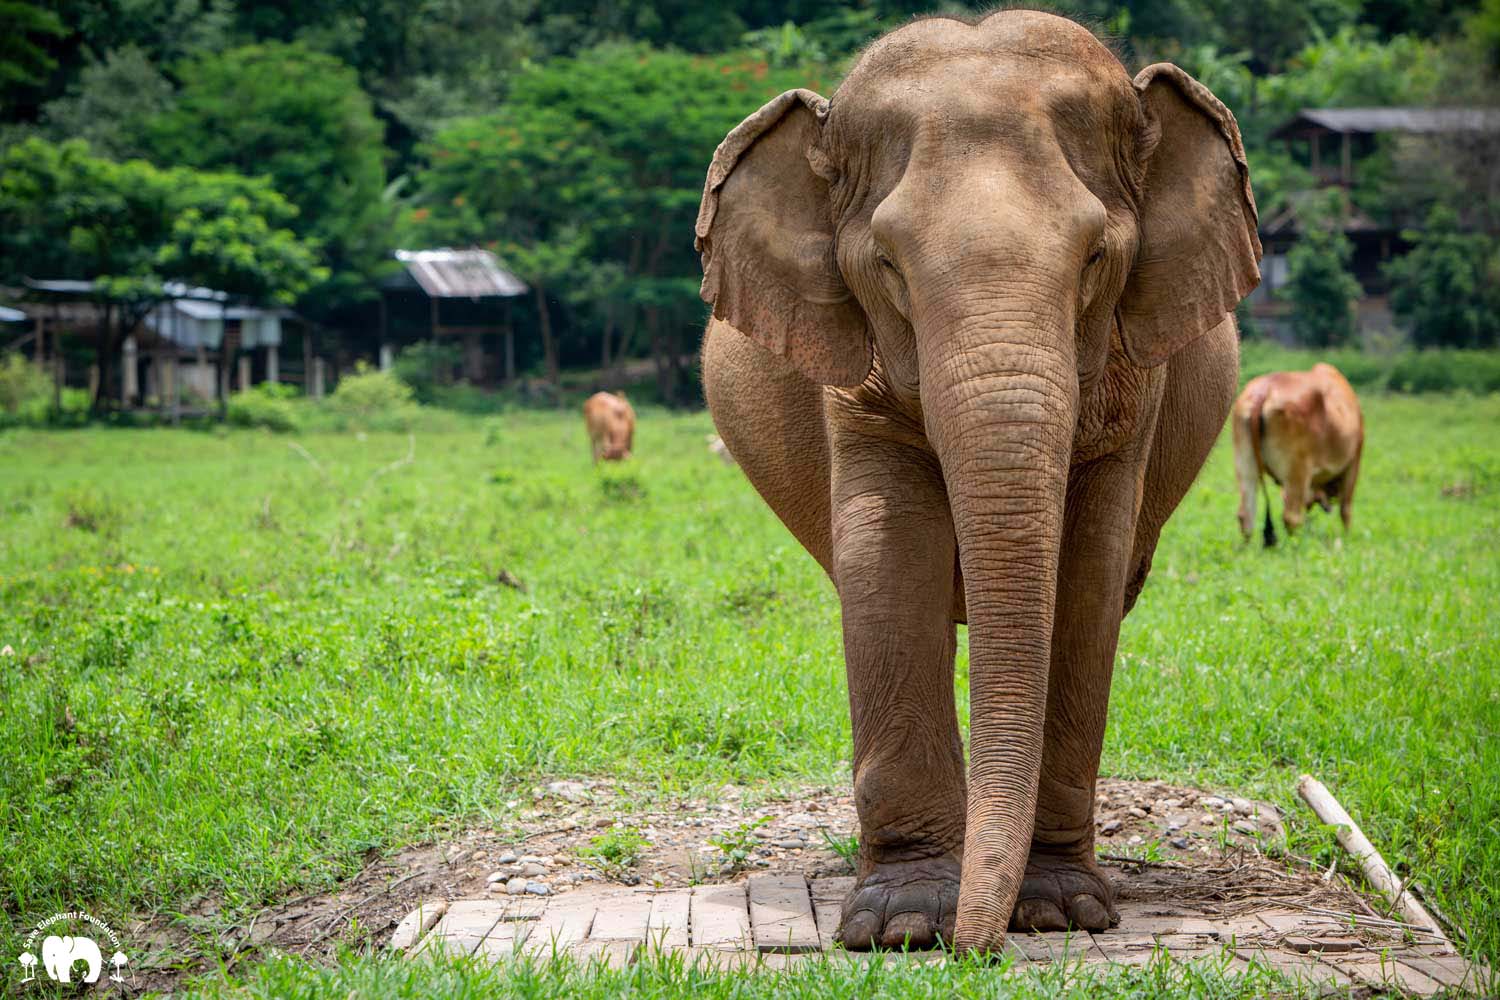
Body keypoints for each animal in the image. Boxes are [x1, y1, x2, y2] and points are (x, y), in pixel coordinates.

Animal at [696, 11, 1260, 959]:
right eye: (887, 265)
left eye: (1096, 257)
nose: (976, 948)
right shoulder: (856, 375)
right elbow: (888, 555)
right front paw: (903, 923)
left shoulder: (1132, 383)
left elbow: (1087, 573)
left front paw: (1059, 911)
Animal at [1230, 361, 1362, 542]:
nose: (1327, 506)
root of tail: (1264, 390)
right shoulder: (1354, 460)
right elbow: (1346, 510)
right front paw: (1347, 538)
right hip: (1297, 469)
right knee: (1292, 516)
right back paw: (1296, 544)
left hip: (1245, 464)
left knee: (1246, 515)